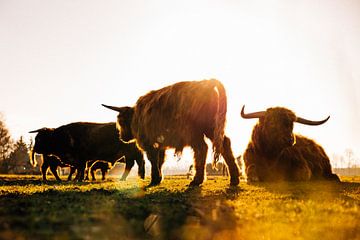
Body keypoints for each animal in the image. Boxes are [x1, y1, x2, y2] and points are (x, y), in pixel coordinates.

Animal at [102, 79, 240, 188]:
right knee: (224, 143)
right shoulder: (160, 145)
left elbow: (153, 161)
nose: (121, 137)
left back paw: (197, 180)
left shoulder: (149, 143)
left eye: (121, 121)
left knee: (201, 148)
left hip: (192, 130)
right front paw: (158, 179)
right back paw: (234, 178)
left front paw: (154, 179)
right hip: (211, 126)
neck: (137, 115)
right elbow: (160, 161)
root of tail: (204, 82)